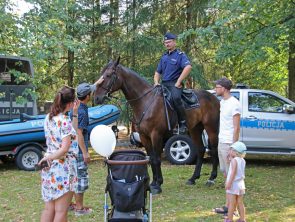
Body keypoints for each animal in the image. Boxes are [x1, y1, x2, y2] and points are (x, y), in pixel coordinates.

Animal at [93, 58, 221, 194]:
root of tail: (214, 97)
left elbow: (157, 159)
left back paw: (211, 178)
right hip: (195, 129)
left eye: (108, 75)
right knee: (201, 149)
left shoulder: (156, 135)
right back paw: (193, 178)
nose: (97, 97)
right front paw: (154, 183)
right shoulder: (144, 136)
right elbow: (151, 158)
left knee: (214, 149)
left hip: (211, 128)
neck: (146, 101)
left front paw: (158, 185)